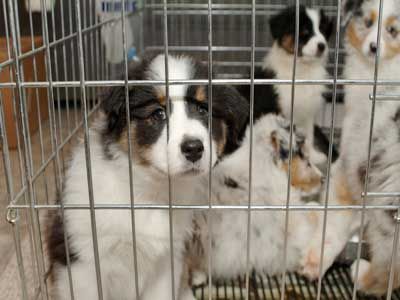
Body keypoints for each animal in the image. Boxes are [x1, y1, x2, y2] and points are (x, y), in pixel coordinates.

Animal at [46, 54, 247, 300]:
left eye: (203, 110)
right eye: (158, 114)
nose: (193, 149)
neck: (149, 192)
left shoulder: (168, 260)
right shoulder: (81, 263)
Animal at [238, 4, 334, 164]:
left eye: (323, 31)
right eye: (305, 32)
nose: (322, 46)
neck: (302, 70)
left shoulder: (307, 113)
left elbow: (309, 136)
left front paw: (313, 156)